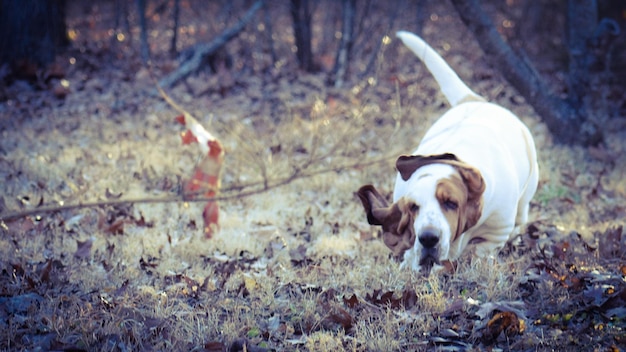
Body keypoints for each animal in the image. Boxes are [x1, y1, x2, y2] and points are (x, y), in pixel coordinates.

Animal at [356, 31, 536, 276]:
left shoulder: (496, 231)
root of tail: (477, 100)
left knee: (521, 215)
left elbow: (481, 250)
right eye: (414, 207)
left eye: (451, 203)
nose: (428, 238)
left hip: (526, 194)